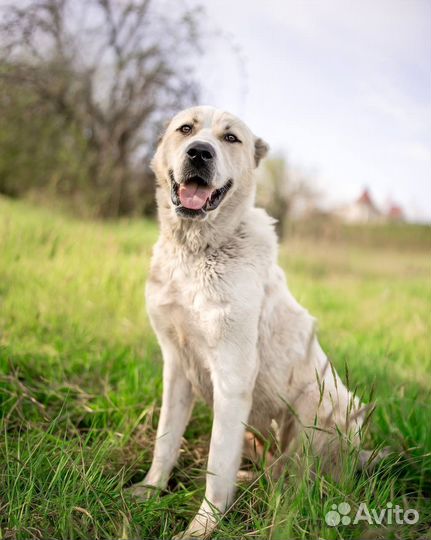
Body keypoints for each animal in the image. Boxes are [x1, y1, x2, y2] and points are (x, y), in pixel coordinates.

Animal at [129, 107, 368, 536]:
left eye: (231, 139)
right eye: (185, 129)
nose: (199, 153)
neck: (196, 252)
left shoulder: (233, 377)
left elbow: (216, 462)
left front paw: (203, 527)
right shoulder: (176, 367)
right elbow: (165, 439)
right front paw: (152, 488)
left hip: (320, 406)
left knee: (300, 481)